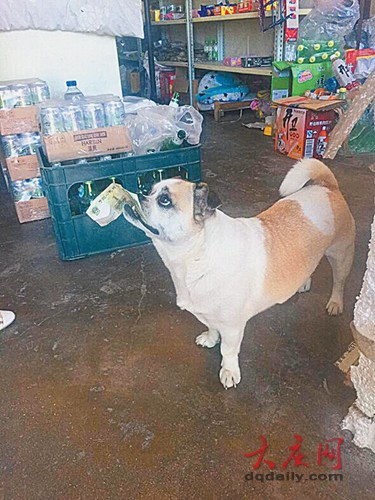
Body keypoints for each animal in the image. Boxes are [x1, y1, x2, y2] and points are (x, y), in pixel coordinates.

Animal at [125, 158, 356, 388]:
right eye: (150, 189)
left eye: (164, 200)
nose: (140, 192)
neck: (197, 252)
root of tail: (327, 186)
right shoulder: (209, 315)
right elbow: (211, 327)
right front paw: (210, 339)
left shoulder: (232, 327)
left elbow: (227, 350)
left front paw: (229, 371)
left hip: (341, 256)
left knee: (339, 281)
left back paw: (335, 303)